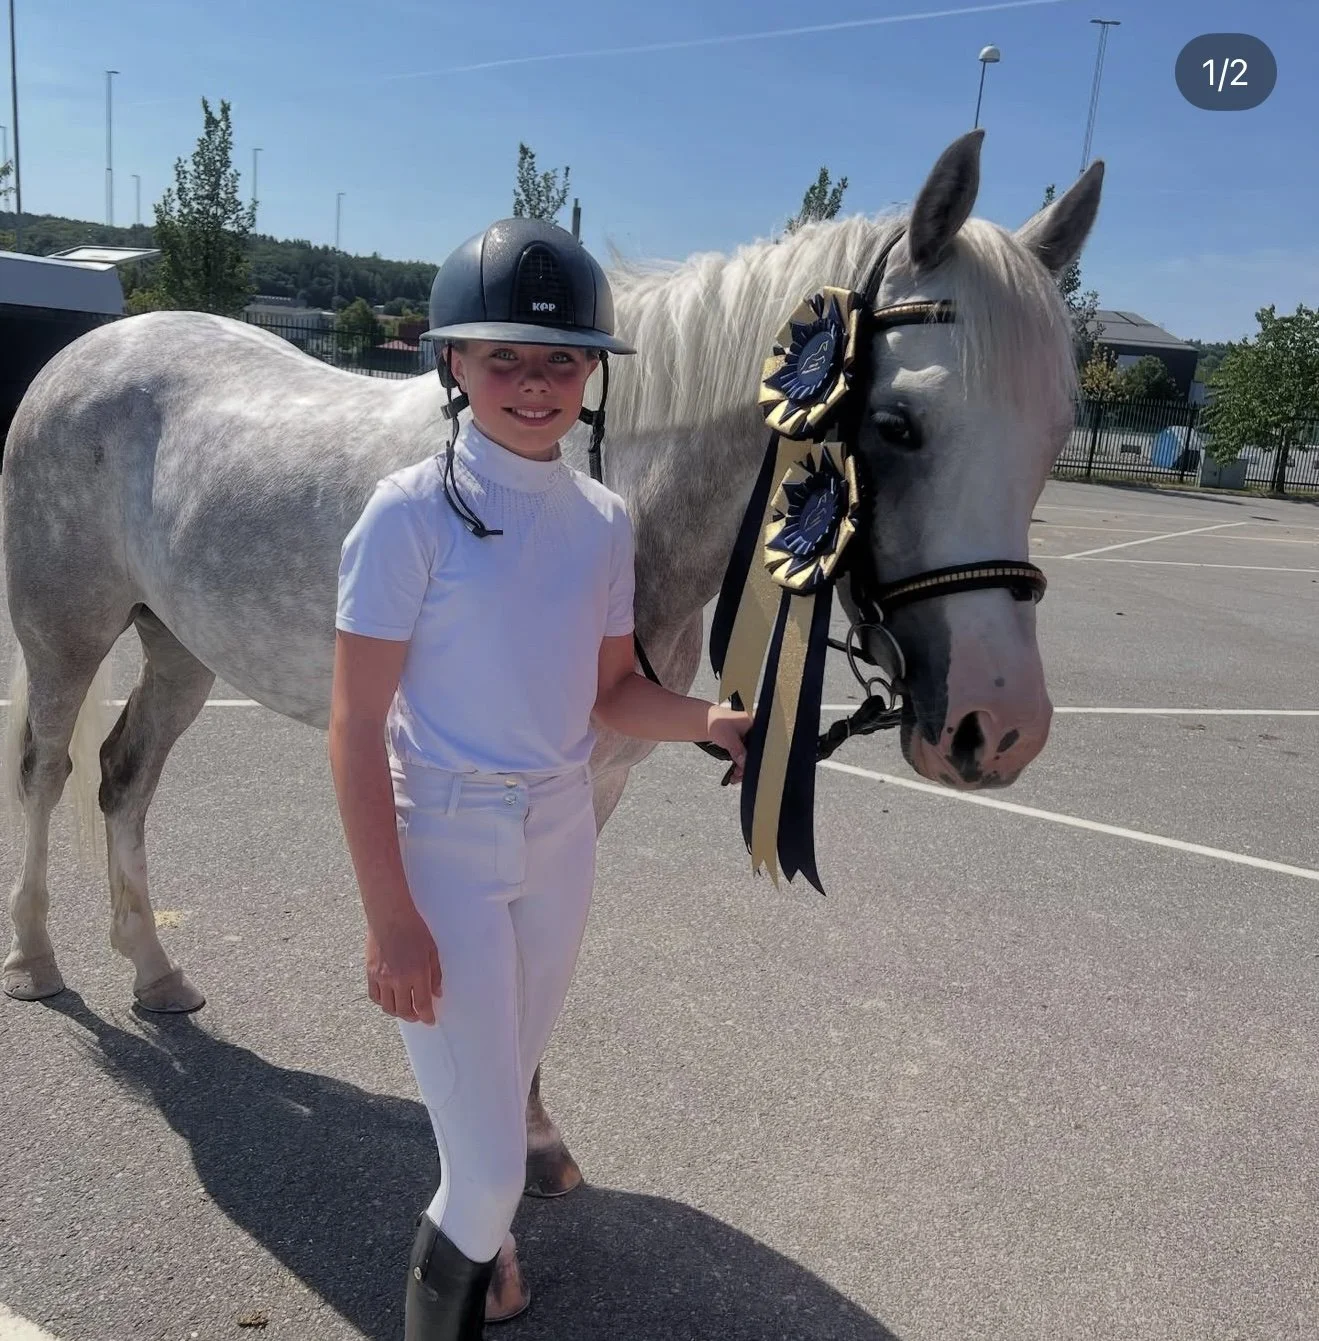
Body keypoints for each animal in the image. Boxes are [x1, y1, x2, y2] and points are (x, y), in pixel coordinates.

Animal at [1, 129, 1102, 1319]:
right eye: (898, 426)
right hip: (65, 636)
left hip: (180, 651)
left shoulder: (590, 787)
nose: (996, 727)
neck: (580, 488)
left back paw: (156, 973)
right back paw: (37, 959)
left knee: (125, 778)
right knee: (48, 772)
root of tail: (90, 353)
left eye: (1054, 435)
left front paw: (531, 1148)